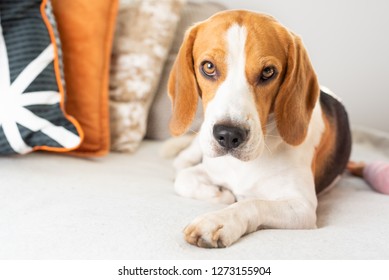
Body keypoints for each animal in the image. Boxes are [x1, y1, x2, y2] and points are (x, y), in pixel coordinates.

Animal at [167, 9, 352, 248]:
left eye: (268, 72)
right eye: (208, 67)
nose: (228, 135)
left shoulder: (302, 206)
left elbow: (253, 203)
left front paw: (217, 220)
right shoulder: (210, 169)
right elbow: (183, 180)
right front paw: (222, 194)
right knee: (181, 163)